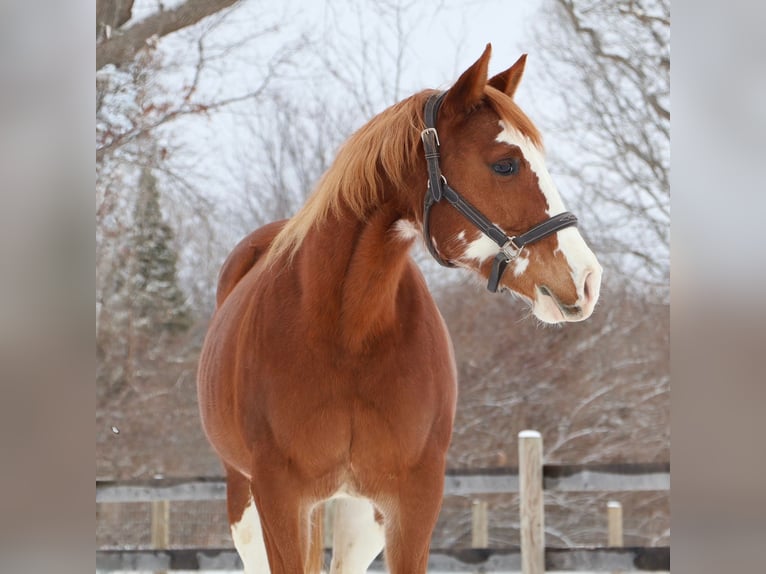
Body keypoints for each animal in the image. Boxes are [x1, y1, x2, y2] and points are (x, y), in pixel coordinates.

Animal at [197, 44, 602, 574]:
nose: (588, 278)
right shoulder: (278, 497)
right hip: (247, 500)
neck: (348, 331)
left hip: (356, 514)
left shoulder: (412, 498)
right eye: (505, 165)